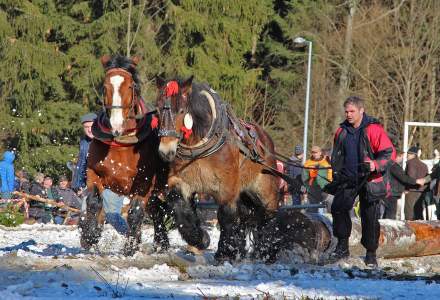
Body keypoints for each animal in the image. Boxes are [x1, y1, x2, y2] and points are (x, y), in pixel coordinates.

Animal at [78, 55, 169, 254]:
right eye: (105, 86)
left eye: (130, 86)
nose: (116, 125)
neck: (120, 142)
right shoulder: (94, 173)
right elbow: (94, 202)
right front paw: (90, 235)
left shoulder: (143, 182)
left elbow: (135, 212)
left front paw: (130, 248)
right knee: (156, 212)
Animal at [153, 77, 280, 262]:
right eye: (157, 109)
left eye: (182, 111)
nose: (165, 151)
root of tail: (265, 141)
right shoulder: (181, 181)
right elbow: (180, 207)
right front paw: (200, 239)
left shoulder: (227, 187)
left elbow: (226, 216)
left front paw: (224, 253)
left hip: (265, 188)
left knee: (268, 216)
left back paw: (266, 252)